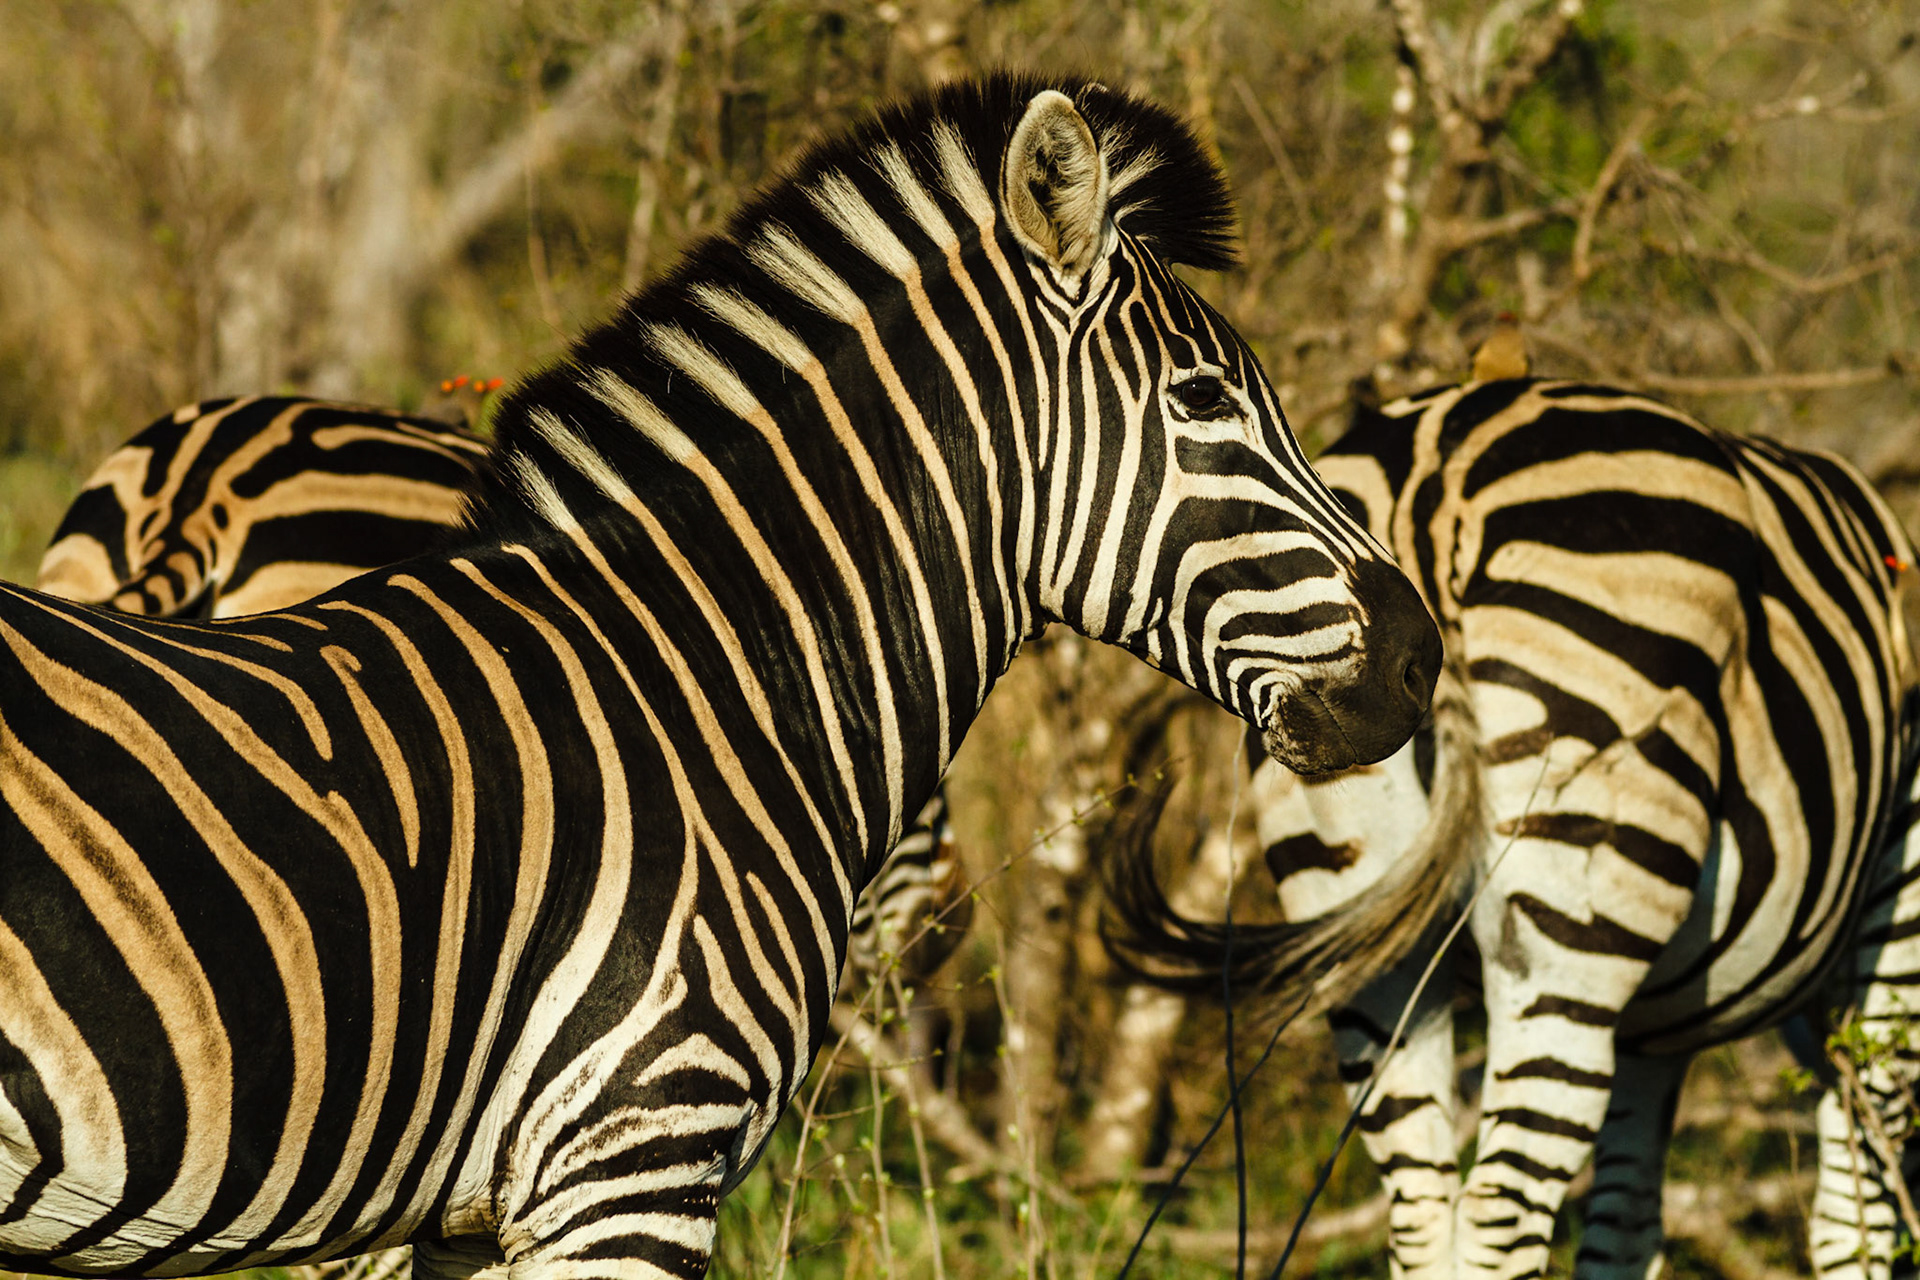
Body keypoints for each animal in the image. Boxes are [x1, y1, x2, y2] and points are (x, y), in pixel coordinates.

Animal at [0, 73, 1442, 1279]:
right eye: (1204, 402)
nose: (1420, 657)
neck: (707, 683)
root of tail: (193, 490)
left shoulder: (468, 1212)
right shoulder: (634, 1157)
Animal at [1109, 375, 1920, 1278]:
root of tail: (1437, 472)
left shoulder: (1652, 1034)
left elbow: (1629, 1226)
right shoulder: (1900, 911)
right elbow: (1857, 1217)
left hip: (1362, 913)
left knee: (1425, 1210)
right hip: (1570, 918)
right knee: (1502, 1215)